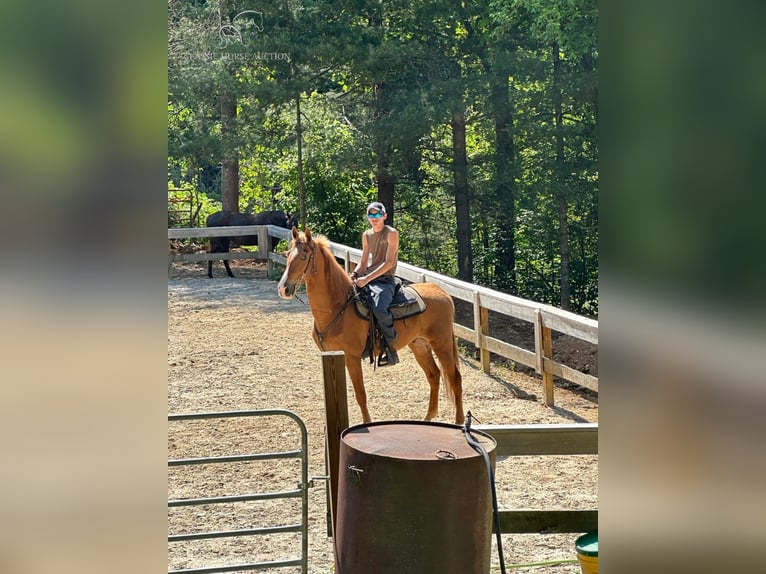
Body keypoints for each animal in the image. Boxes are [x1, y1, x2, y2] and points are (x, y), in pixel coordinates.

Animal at [278, 227, 464, 426]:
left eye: (304, 256)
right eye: (287, 254)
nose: (283, 289)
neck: (338, 307)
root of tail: (443, 292)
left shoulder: (351, 357)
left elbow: (361, 395)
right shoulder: (329, 354)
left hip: (441, 343)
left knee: (455, 378)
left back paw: (459, 421)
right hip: (419, 344)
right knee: (434, 375)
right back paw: (428, 417)